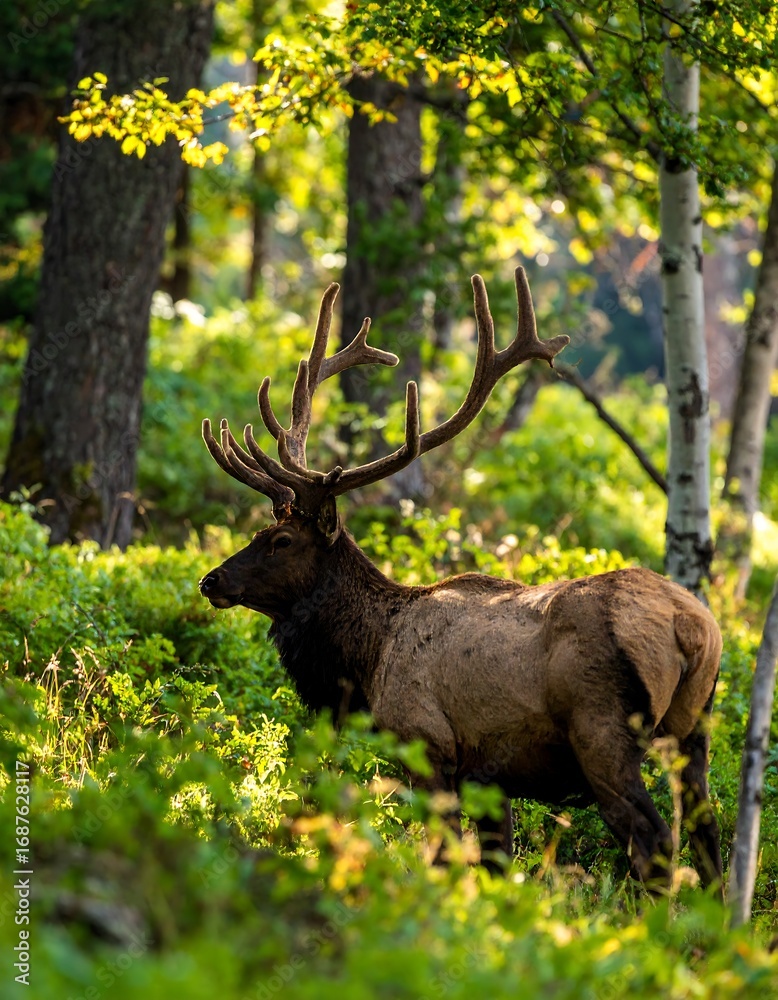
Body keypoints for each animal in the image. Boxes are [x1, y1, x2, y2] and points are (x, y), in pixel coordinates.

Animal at [199, 267, 723, 894]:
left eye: (281, 541)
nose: (210, 580)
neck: (366, 662)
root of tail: (690, 628)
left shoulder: (427, 745)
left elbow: (443, 858)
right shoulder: (489, 776)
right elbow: (497, 863)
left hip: (603, 731)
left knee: (655, 842)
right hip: (695, 729)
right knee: (709, 837)